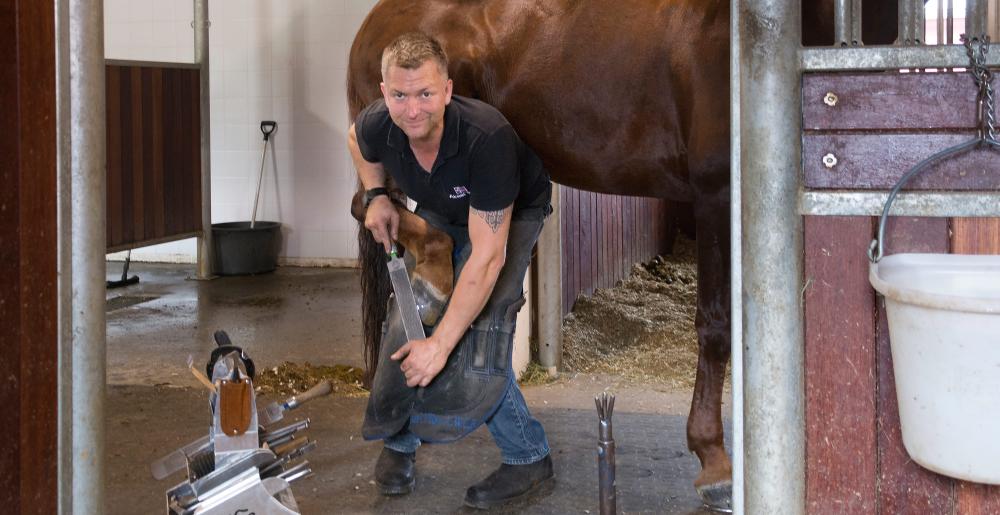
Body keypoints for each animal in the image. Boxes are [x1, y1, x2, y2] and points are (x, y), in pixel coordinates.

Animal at [350, 0, 900, 508]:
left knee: (386, 218)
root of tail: (372, 24)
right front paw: (714, 461)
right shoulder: (716, 196)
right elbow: (717, 327)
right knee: (378, 212)